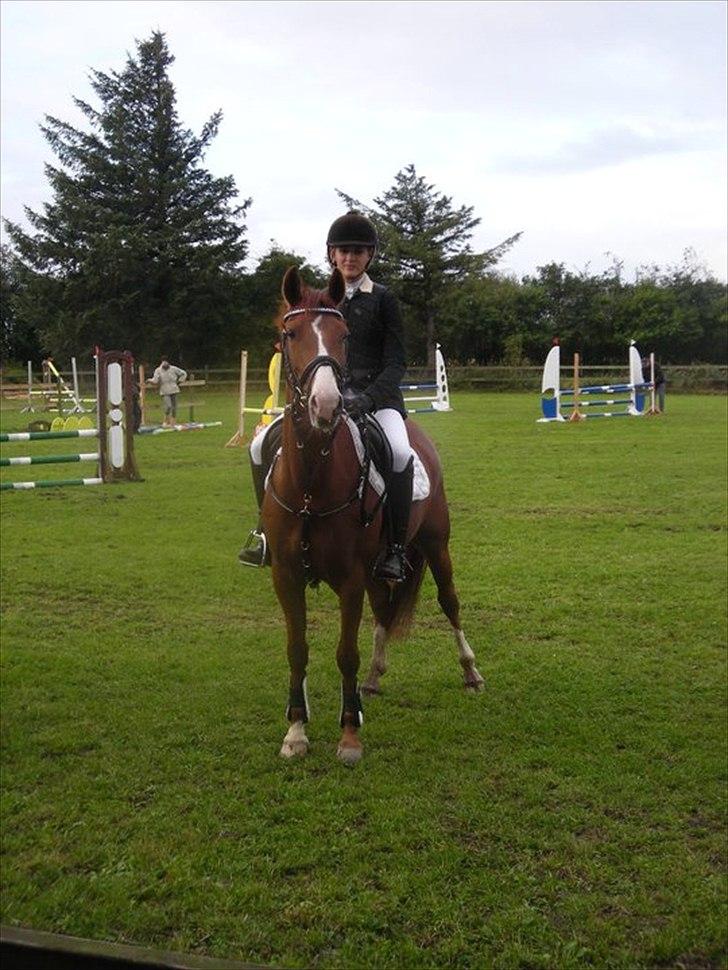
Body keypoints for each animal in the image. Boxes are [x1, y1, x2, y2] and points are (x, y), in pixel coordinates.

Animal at [261, 266, 484, 765]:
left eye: (344, 335)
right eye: (290, 333)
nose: (326, 406)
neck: (312, 483)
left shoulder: (349, 578)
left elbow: (346, 652)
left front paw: (349, 737)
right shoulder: (286, 574)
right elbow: (297, 649)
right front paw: (296, 730)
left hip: (435, 544)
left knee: (450, 602)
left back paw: (470, 671)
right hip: (380, 566)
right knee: (385, 607)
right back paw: (375, 679)